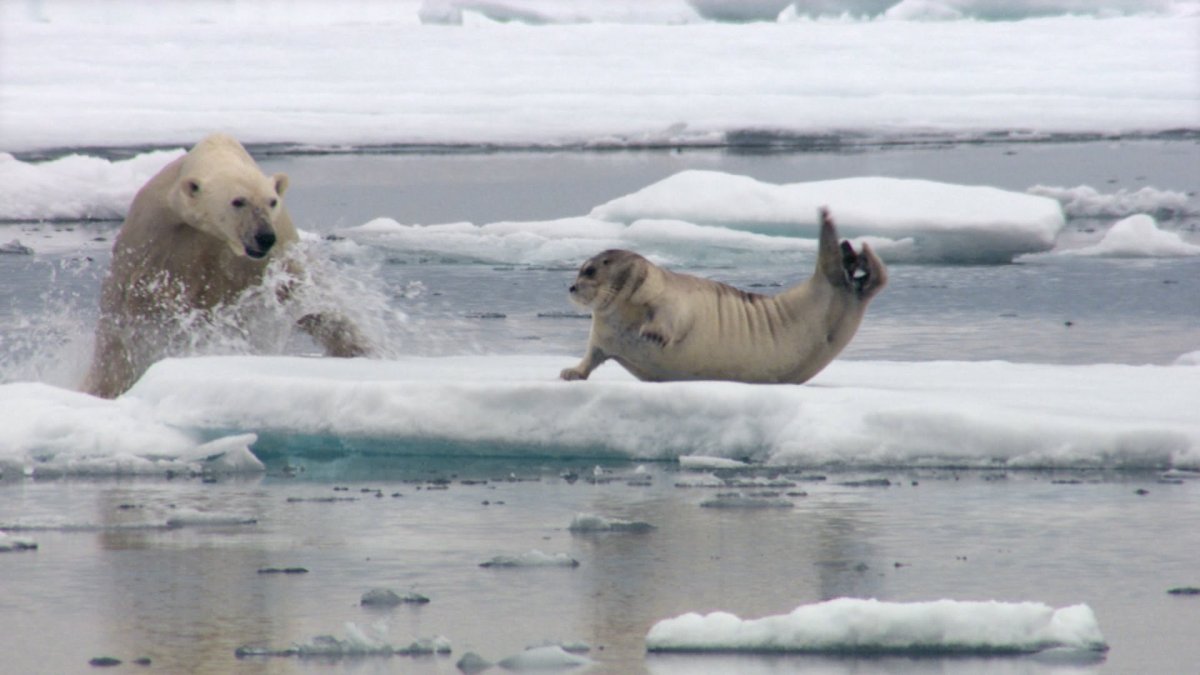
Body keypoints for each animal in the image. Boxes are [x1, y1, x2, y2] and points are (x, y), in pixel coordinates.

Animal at [82, 133, 368, 398]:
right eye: (238, 201)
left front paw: (361, 350)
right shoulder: (154, 238)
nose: (264, 237)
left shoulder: (272, 253)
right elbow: (132, 310)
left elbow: (307, 296)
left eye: (272, 201)